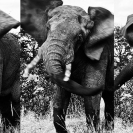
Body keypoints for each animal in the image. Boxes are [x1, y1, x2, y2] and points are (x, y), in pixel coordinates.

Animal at [21, 0, 114, 132]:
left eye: (79, 37)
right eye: (47, 27)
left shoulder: (101, 51)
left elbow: (92, 91)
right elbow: (60, 96)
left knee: (109, 96)